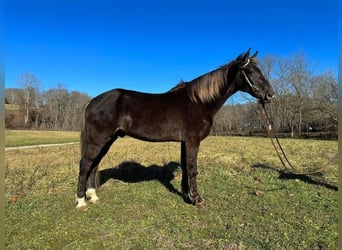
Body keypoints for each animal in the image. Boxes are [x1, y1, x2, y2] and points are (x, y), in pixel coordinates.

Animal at [75, 48, 276, 207]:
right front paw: (198, 199)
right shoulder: (193, 141)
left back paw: (93, 196)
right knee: (85, 164)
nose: (270, 95)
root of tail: (92, 102)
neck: (199, 101)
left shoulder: (184, 141)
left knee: (94, 164)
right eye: (250, 71)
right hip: (99, 139)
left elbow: (186, 167)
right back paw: (81, 201)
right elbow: (193, 168)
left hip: (107, 140)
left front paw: (187, 194)